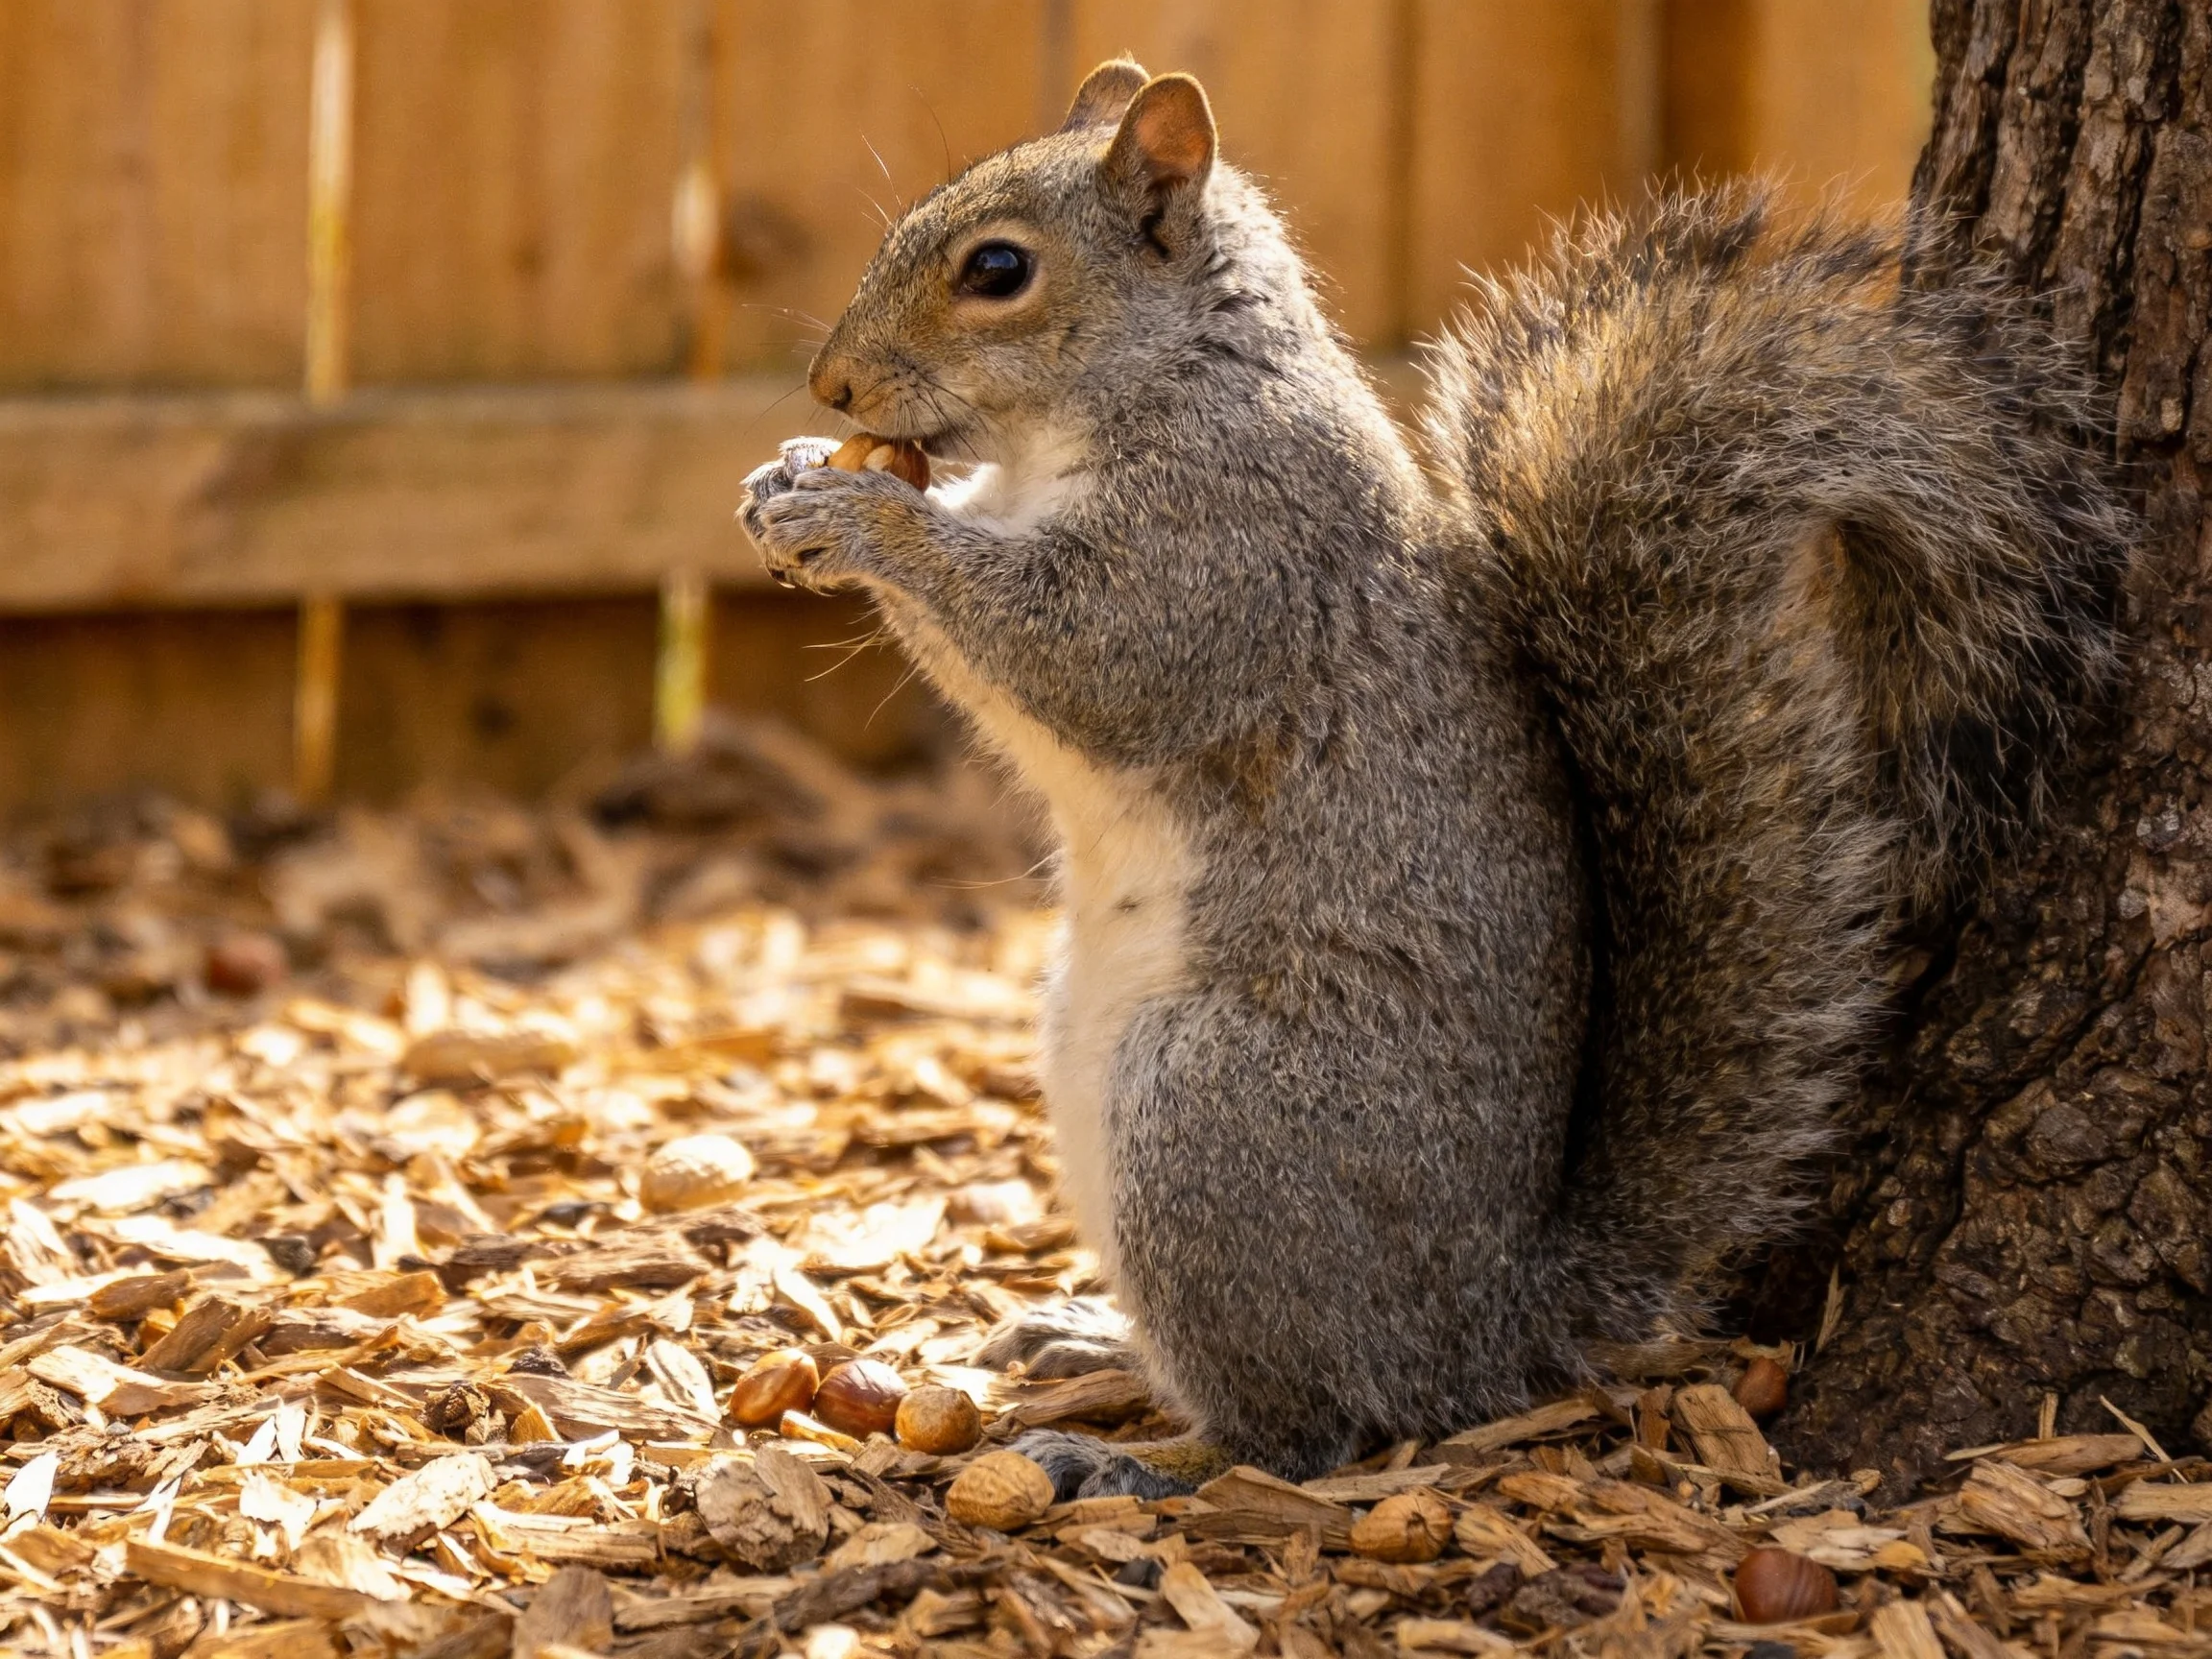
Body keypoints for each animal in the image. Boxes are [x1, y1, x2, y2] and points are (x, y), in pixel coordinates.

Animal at [740, 61, 2131, 1498]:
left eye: (998, 269)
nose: (829, 385)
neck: (1156, 382)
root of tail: (1482, 1322)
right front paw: (784, 483)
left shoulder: (1233, 546)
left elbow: (1088, 656)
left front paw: (864, 520)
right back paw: (1085, 1338)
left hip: (1217, 1120)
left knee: (1305, 1430)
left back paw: (1137, 1460)